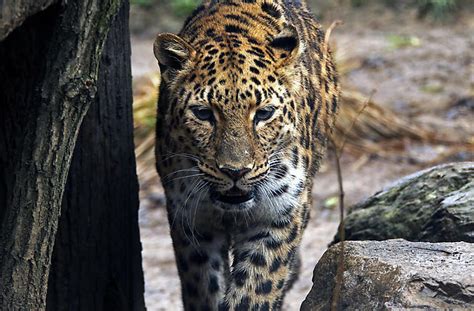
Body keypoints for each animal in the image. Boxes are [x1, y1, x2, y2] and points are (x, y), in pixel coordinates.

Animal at [154, 0, 338, 310]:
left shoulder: (279, 215)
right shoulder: (192, 220)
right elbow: (203, 287)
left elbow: (255, 288)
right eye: (203, 113)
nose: (235, 171)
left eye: (264, 113)